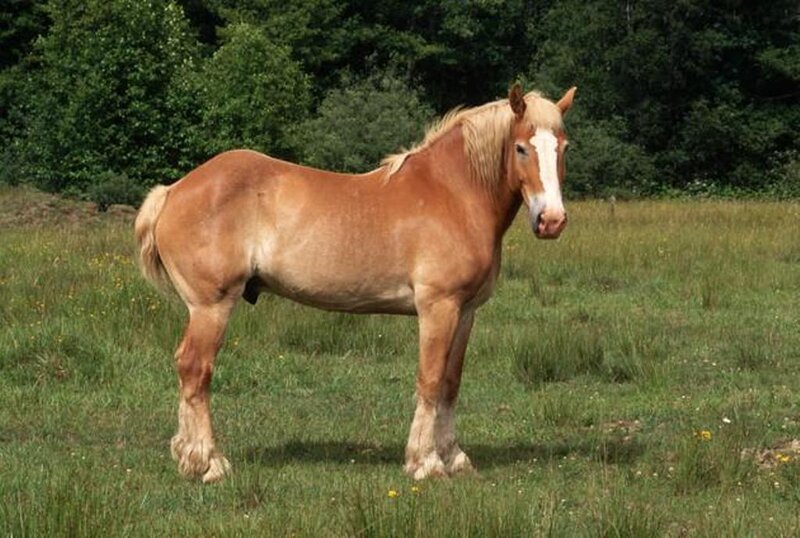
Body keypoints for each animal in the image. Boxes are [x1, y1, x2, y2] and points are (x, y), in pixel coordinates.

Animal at [134, 83, 576, 483]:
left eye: (563, 147)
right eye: (521, 148)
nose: (552, 221)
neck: (452, 194)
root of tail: (172, 191)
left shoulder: (465, 312)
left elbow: (451, 383)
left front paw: (454, 457)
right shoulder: (438, 308)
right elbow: (430, 379)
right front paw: (425, 463)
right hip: (211, 306)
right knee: (196, 370)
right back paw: (208, 463)